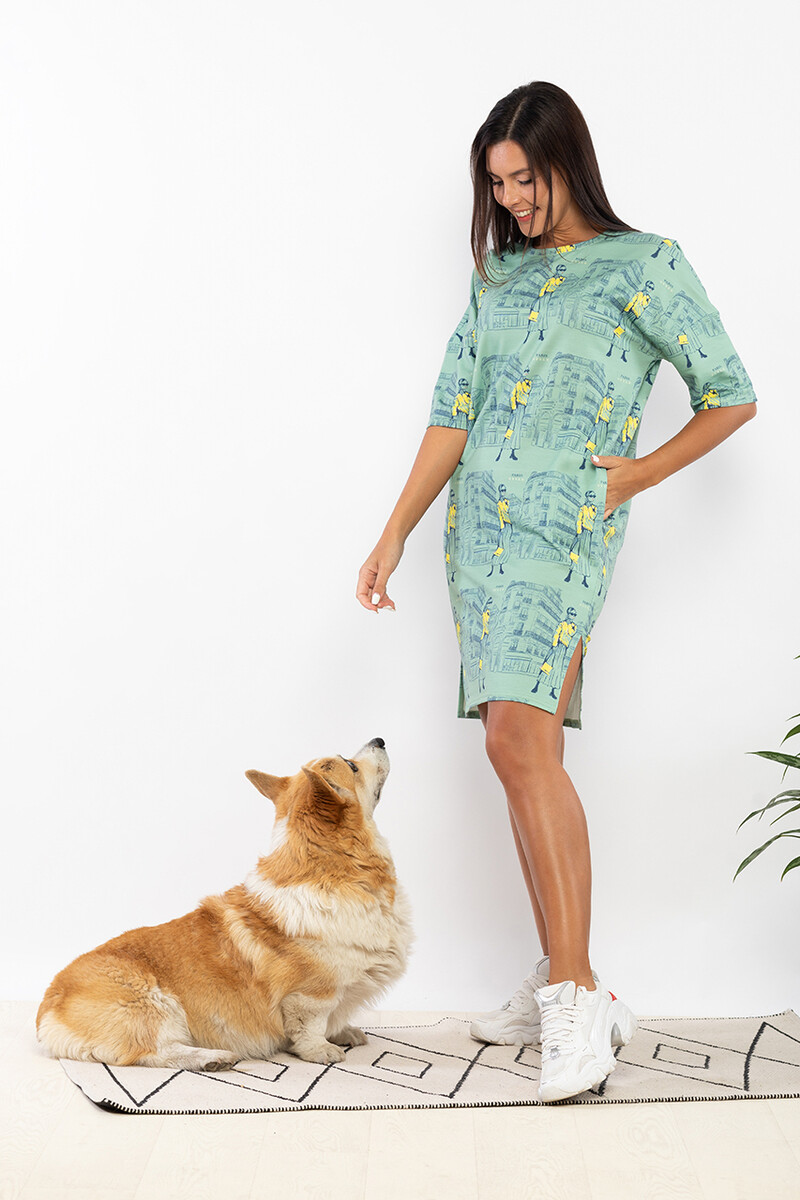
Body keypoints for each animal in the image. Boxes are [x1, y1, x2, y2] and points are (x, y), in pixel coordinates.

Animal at [36, 736, 413, 1070]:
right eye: (351, 765)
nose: (380, 740)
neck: (334, 869)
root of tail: (47, 1009)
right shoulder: (310, 995)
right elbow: (310, 1027)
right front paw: (322, 1050)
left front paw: (344, 1032)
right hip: (157, 1005)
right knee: (153, 1052)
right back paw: (212, 1058)